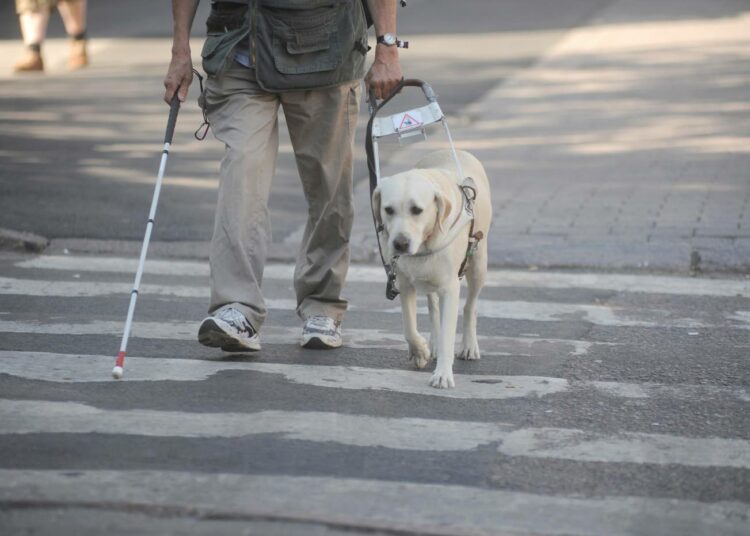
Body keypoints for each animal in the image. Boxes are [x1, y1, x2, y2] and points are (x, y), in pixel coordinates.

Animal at [372, 149, 494, 388]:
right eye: (388, 210)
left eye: (417, 210)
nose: (400, 243)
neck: (424, 244)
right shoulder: (404, 284)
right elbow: (409, 327)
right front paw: (420, 351)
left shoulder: (450, 288)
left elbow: (449, 333)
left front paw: (443, 374)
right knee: (433, 308)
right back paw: (434, 343)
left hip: (478, 264)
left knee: (470, 306)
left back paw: (469, 345)